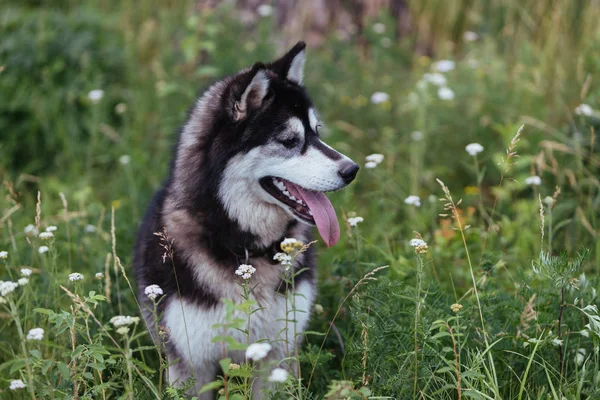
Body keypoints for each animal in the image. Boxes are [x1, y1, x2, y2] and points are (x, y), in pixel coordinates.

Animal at [134, 42, 358, 396]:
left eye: (317, 132)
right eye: (290, 141)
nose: (352, 170)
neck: (242, 248)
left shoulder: (277, 354)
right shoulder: (191, 364)